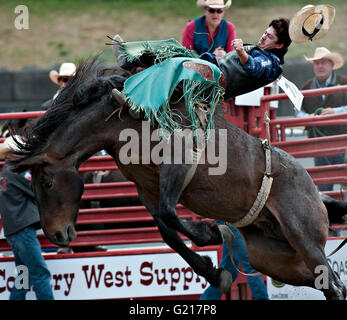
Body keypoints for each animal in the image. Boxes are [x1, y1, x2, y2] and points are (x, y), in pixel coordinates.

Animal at [8, 56, 347, 298]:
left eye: (47, 182)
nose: (56, 234)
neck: (123, 122)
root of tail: (315, 189)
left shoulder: (179, 165)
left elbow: (171, 215)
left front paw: (212, 233)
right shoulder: (146, 189)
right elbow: (167, 231)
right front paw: (215, 272)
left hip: (303, 237)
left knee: (333, 285)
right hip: (277, 258)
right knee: (330, 283)